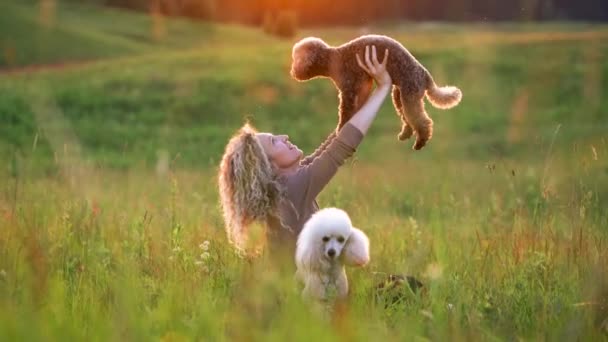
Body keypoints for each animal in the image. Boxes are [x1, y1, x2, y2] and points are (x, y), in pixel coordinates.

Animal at [290, 35, 460, 151]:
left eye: (296, 59)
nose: (293, 72)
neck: (332, 59)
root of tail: (425, 75)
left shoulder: (348, 91)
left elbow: (345, 113)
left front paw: (341, 129)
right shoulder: (360, 89)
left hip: (410, 94)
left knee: (423, 121)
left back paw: (420, 142)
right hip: (400, 96)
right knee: (407, 119)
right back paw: (405, 134)